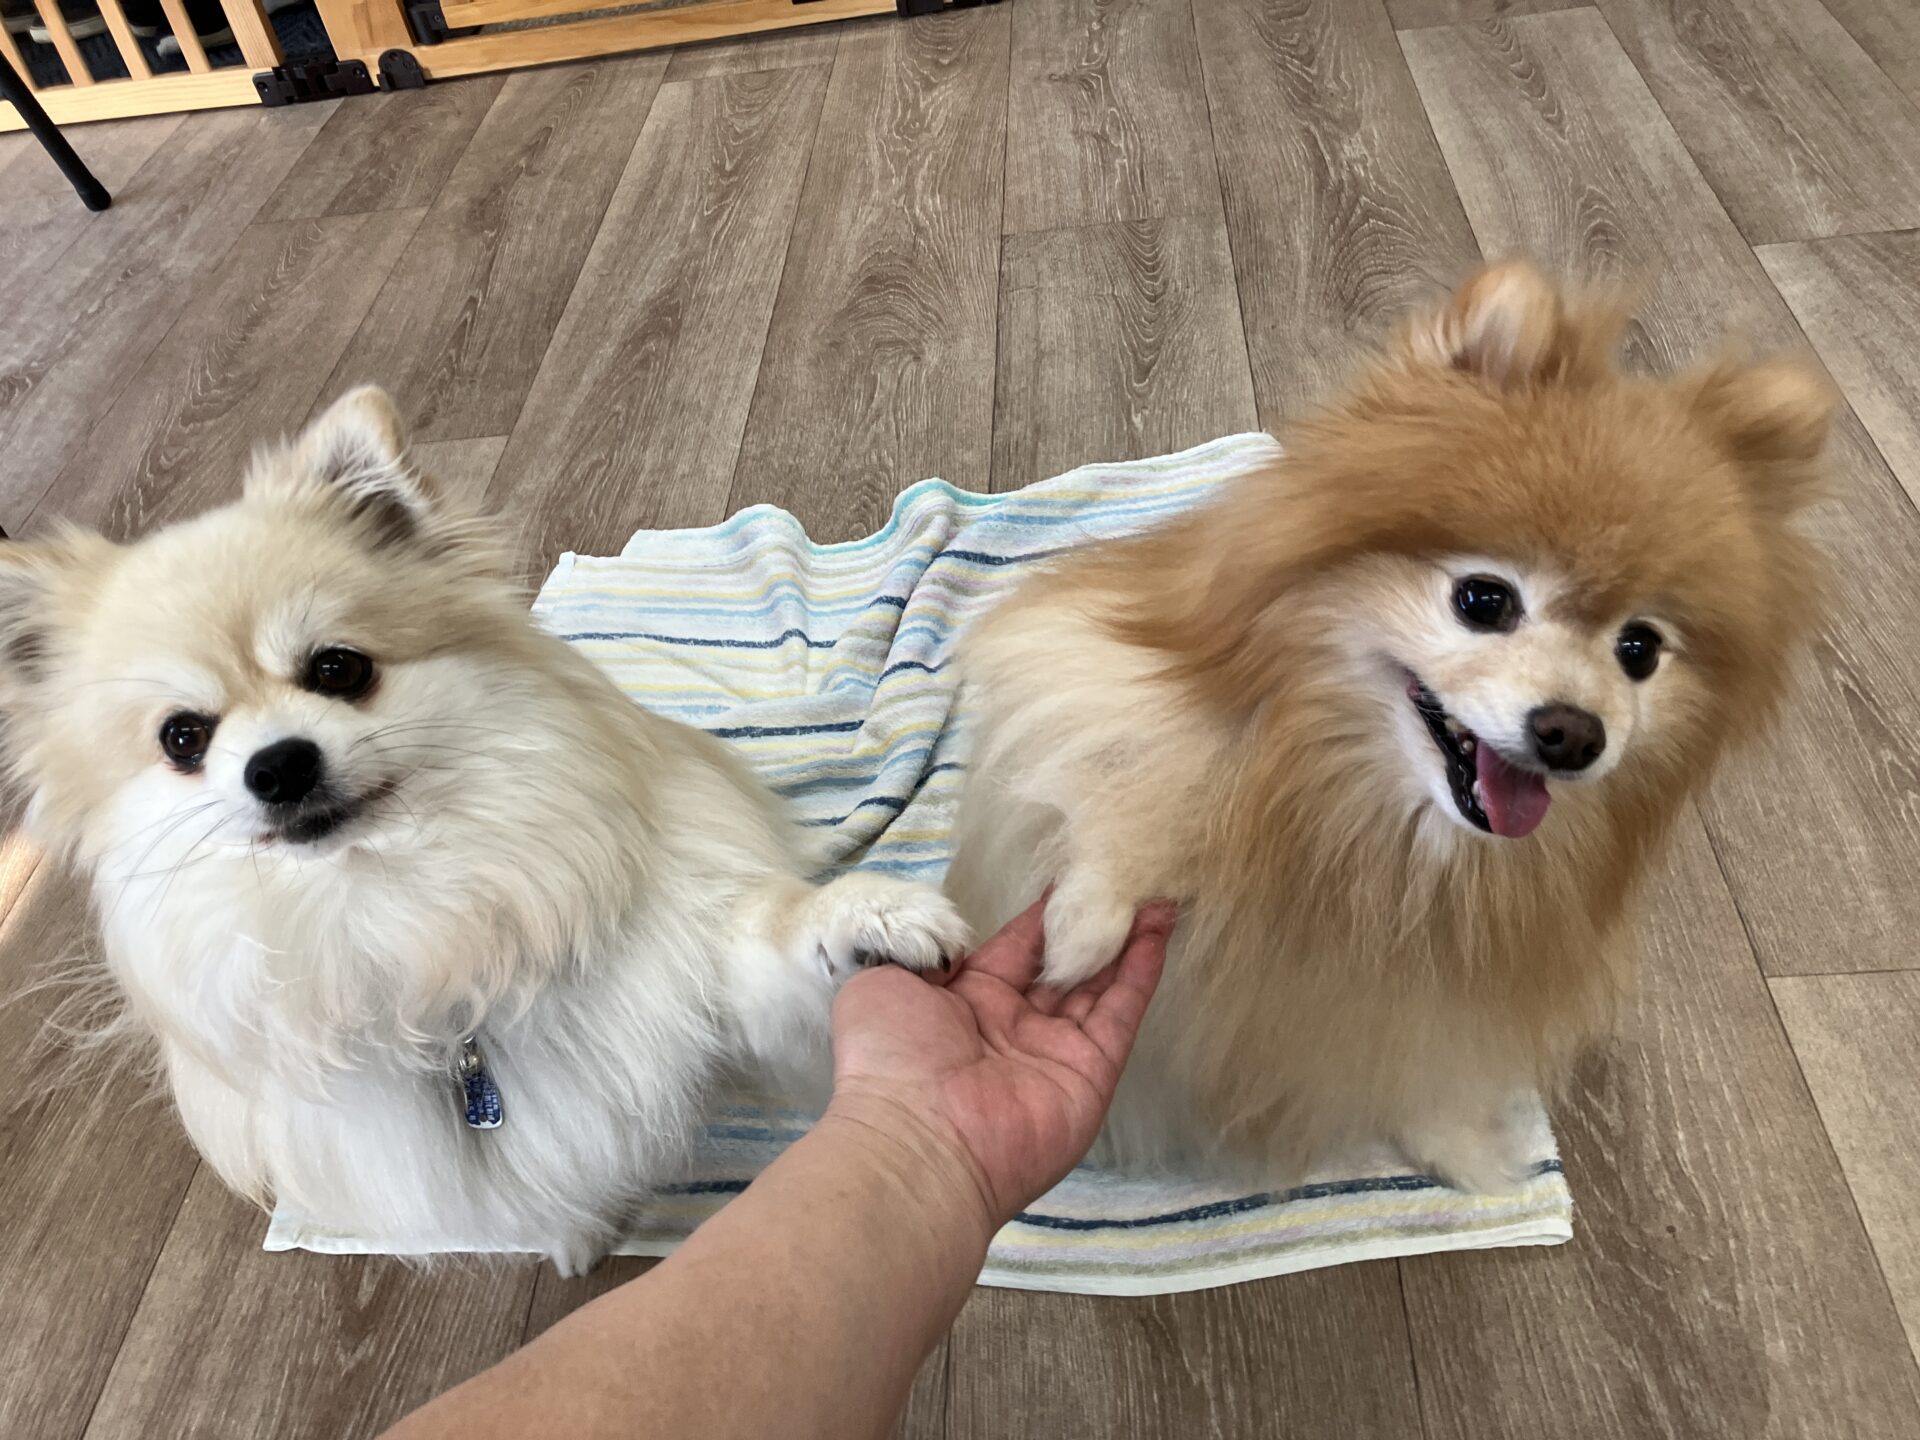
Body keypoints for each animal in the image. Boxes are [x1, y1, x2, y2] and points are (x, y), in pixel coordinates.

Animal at [0, 387, 969, 1273]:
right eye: (182, 738)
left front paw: (872, 919)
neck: (407, 913)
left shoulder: (697, 980)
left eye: (338, 668)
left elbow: (780, 939)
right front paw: (572, 1238)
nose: (277, 766)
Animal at [946, 261, 1832, 1190]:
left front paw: (1460, 1150)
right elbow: (1136, 784)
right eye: (1483, 600)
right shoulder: (1105, 682)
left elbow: (1414, 1062)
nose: (1573, 733)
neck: (1373, 823)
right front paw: (1084, 934)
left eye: (1640, 650)